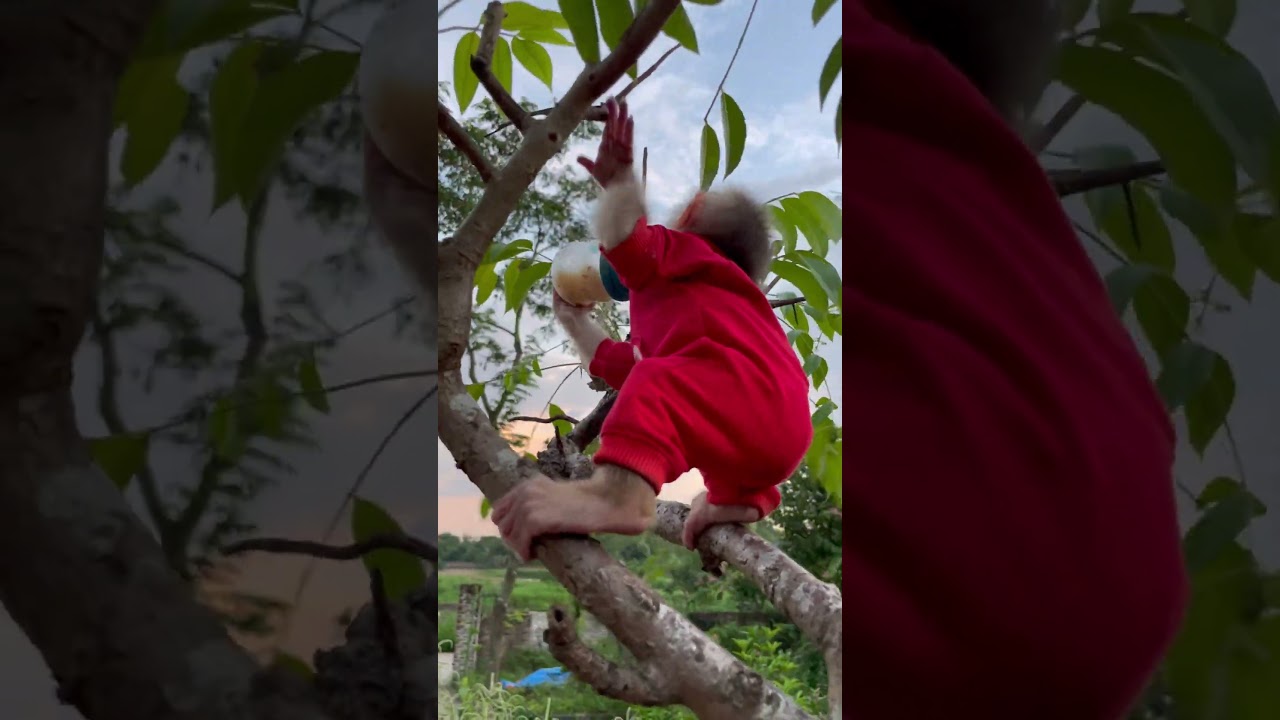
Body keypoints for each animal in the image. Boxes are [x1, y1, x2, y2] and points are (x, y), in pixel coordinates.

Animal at [492, 98, 812, 558]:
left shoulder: (672, 247)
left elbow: (634, 247)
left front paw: (616, 166)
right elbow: (619, 361)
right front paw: (569, 308)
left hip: (722, 396)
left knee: (650, 384)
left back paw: (610, 504)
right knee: (749, 490)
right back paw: (731, 507)